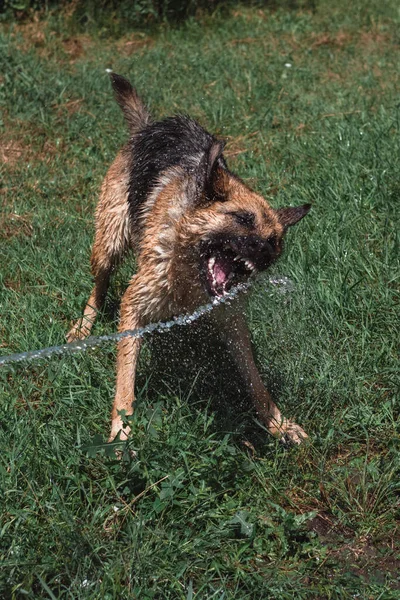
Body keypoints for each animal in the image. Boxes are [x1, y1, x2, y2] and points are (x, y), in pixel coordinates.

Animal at [66, 71, 310, 446]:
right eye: (243, 219)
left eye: (276, 241)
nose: (268, 255)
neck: (189, 278)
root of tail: (149, 126)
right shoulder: (135, 302)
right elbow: (125, 382)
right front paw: (121, 432)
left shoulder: (232, 320)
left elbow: (254, 379)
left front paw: (277, 423)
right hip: (110, 236)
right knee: (100, 282)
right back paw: (85, 325)